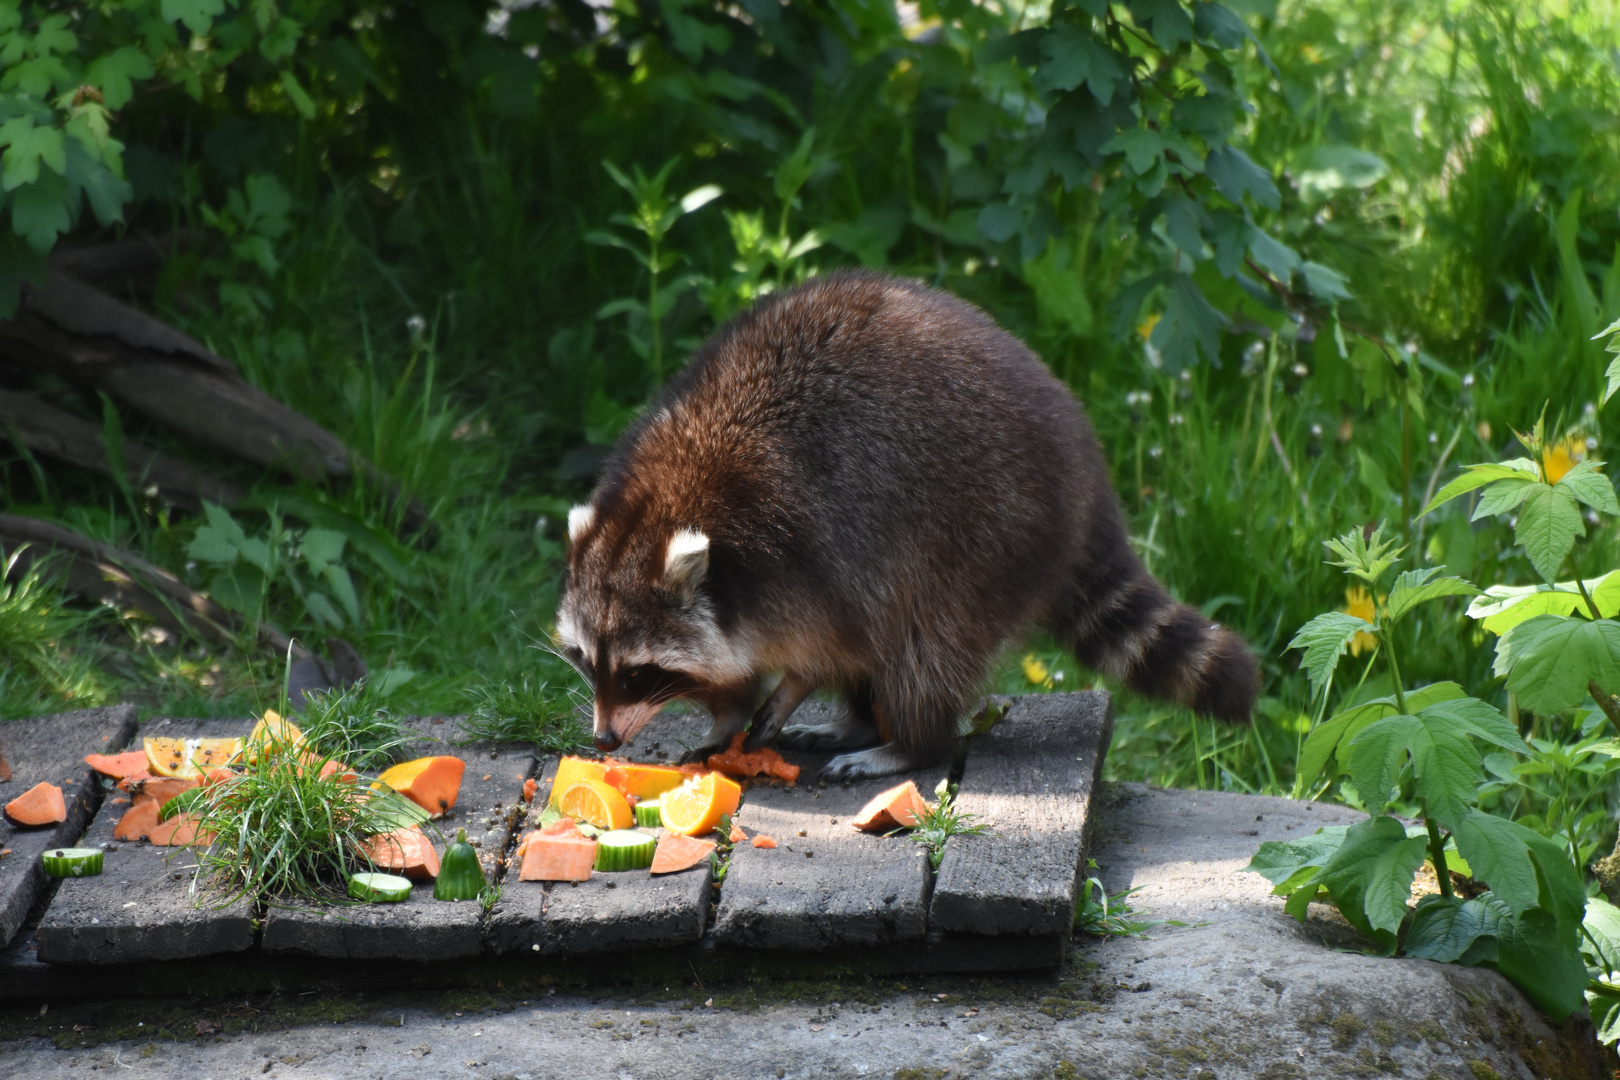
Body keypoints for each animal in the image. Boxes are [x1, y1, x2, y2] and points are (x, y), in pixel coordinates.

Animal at [554, 268, 1250, 777]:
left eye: (638, 672)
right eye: (587, 660)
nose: (606, 739)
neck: (666, 502)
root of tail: (1085, 473)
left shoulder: (795, 548)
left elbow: (830, 643)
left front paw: (792, 685)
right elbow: (735, 671)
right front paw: (724, 718)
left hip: (984, 531)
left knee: (922, 643)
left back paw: (909, 742)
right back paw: (860, 719)